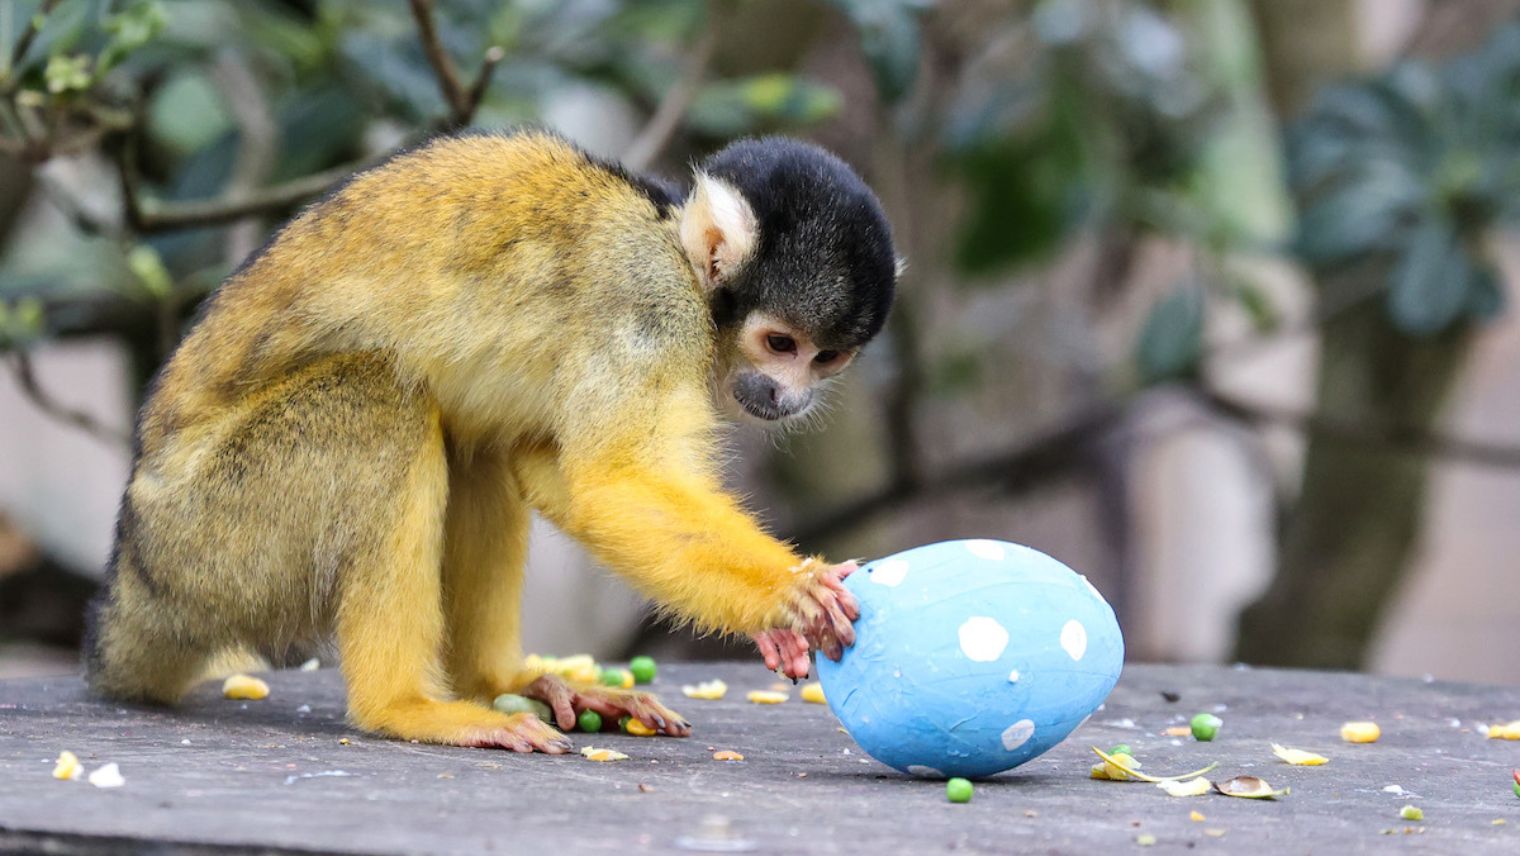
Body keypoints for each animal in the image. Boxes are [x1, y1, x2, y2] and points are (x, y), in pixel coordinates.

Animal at [83, 129, 898, 752]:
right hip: (218, 538)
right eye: (780, 343)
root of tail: (134, 576)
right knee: (381, 403)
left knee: (473, 443)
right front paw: (788, 594)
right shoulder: (647, 303)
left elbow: (551, 465)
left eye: (825, 358)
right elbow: (614, 479)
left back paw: (499, 683)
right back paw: (404, 705)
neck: (681, 256)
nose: (789, 397)